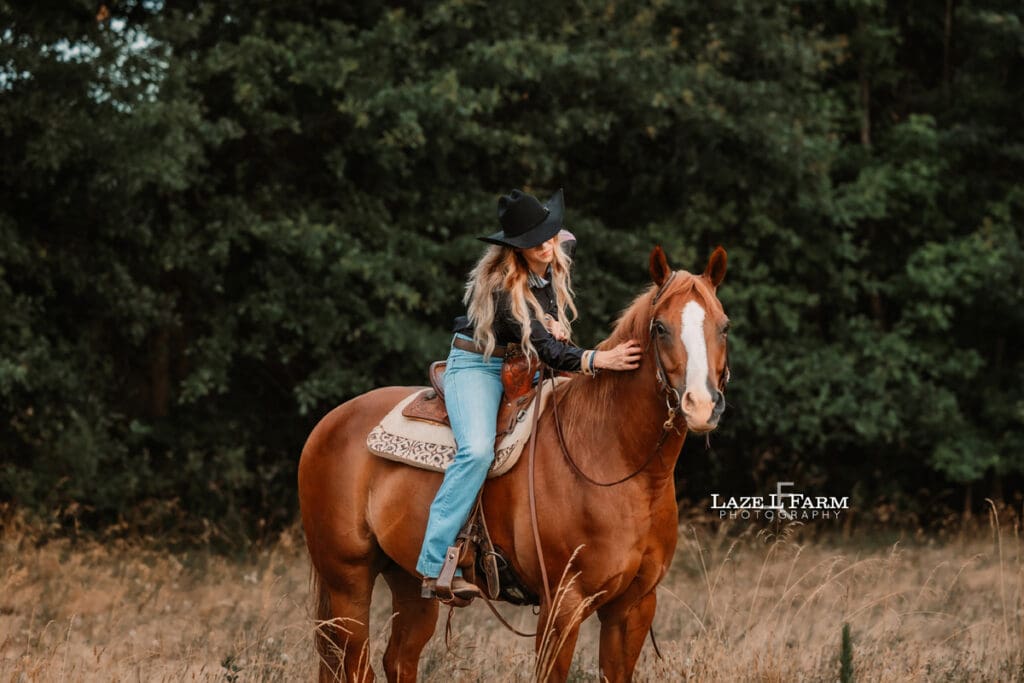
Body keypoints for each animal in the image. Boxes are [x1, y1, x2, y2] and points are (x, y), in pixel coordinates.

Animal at [298, 245, 729, 682]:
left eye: (724, 327)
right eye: (659, 327)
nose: (701, 405)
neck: (612, 459)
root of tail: (330, 422)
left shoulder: (634, 607)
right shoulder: (563, 603)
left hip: (407, 580)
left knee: (398, 659)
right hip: (348, 580)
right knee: (356, 664)